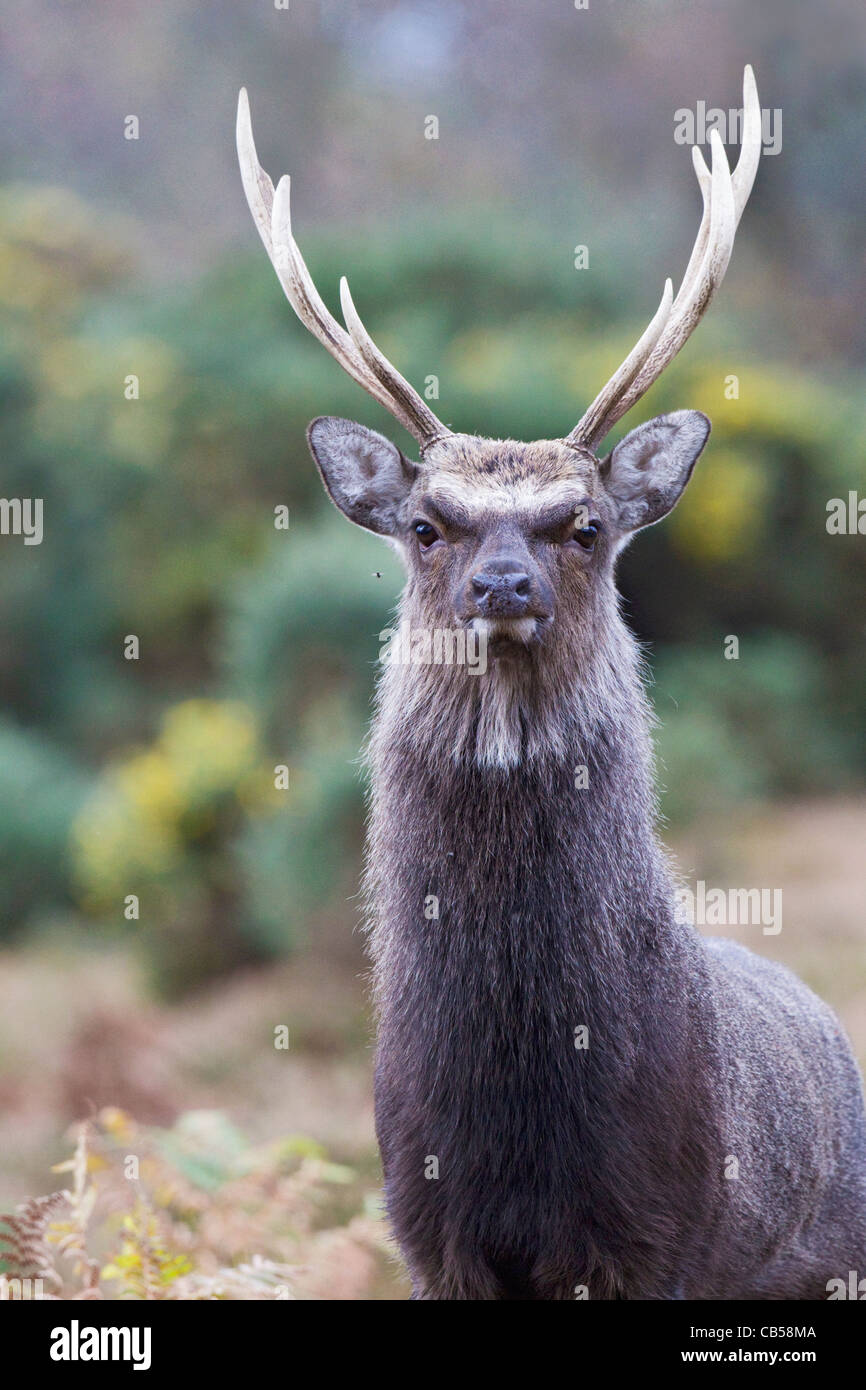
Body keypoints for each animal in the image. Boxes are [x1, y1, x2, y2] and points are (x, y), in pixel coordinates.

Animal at [237, 67, 866, 1300]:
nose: (502, 582)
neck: (520, 1096)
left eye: (584, 524)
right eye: (425, 524)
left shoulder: (658, 1231)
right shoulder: (428, 1228)